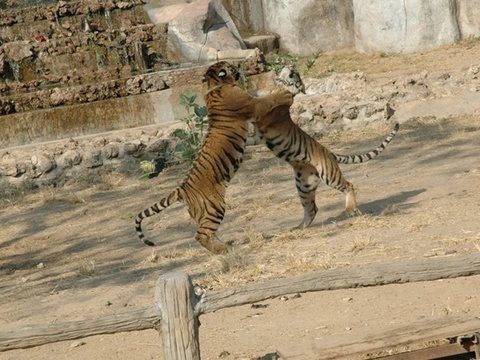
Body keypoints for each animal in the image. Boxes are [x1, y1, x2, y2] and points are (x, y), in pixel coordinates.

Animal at [133, 62, 294, 253]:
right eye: (232, 67)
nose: (240, 65)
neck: (215, 84)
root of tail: (182, 189)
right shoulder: (252, 105)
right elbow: (267, 100)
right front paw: (285, 94)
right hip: (215, 206)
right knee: (200, 235)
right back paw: (221, 249)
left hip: (202, 213)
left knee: (208, 232)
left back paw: (225, 244)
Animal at [253, 64, 400, 228]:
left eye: (295, 73)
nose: (290, 65)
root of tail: (330, 152)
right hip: (304, 185)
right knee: (312, 208)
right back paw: (299, 228)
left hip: (329, 175)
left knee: (349, 185)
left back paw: (351, 210)